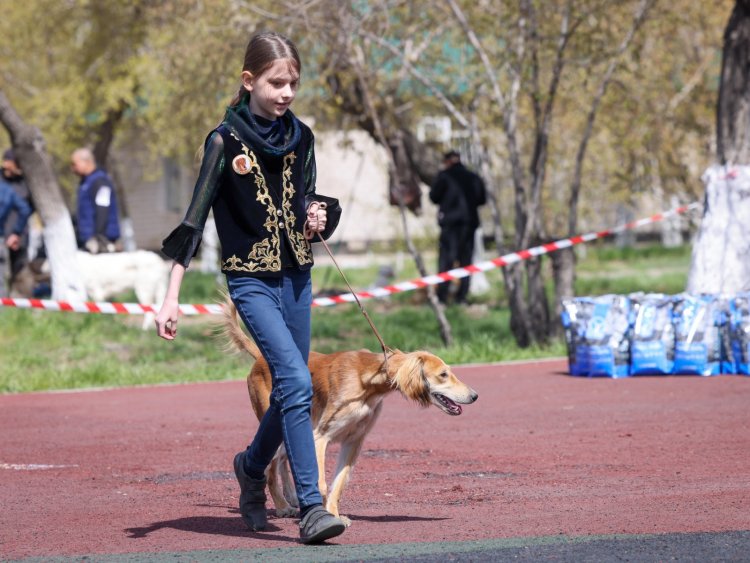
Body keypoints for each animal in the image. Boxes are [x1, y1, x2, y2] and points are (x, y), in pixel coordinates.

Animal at [225, 302, 482, 528]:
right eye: (443, 374)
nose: (475, 396)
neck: (368, 382)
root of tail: (261, 357)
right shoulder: (320, 436)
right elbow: (321, 484)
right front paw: (322, 516)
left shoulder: (354, 441)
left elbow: (339, 483)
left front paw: (334, 514)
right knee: (270, 465)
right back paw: (280, 505)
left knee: (281, 460)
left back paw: (290, 498)